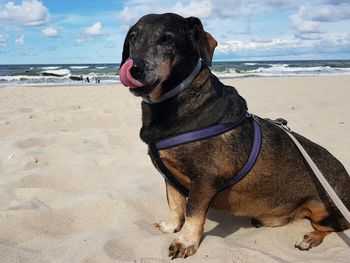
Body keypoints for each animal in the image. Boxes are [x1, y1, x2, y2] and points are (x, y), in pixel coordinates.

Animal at [118, 13, 350, 258]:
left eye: (167, 40)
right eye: (133, 38)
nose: (133, 69)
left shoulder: (206, 178)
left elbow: (192, 212)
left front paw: (185, 241)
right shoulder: (169, 176)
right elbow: (174, 204)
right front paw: (171, 226)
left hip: (327, 211)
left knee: (332, 227)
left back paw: (309, 238)